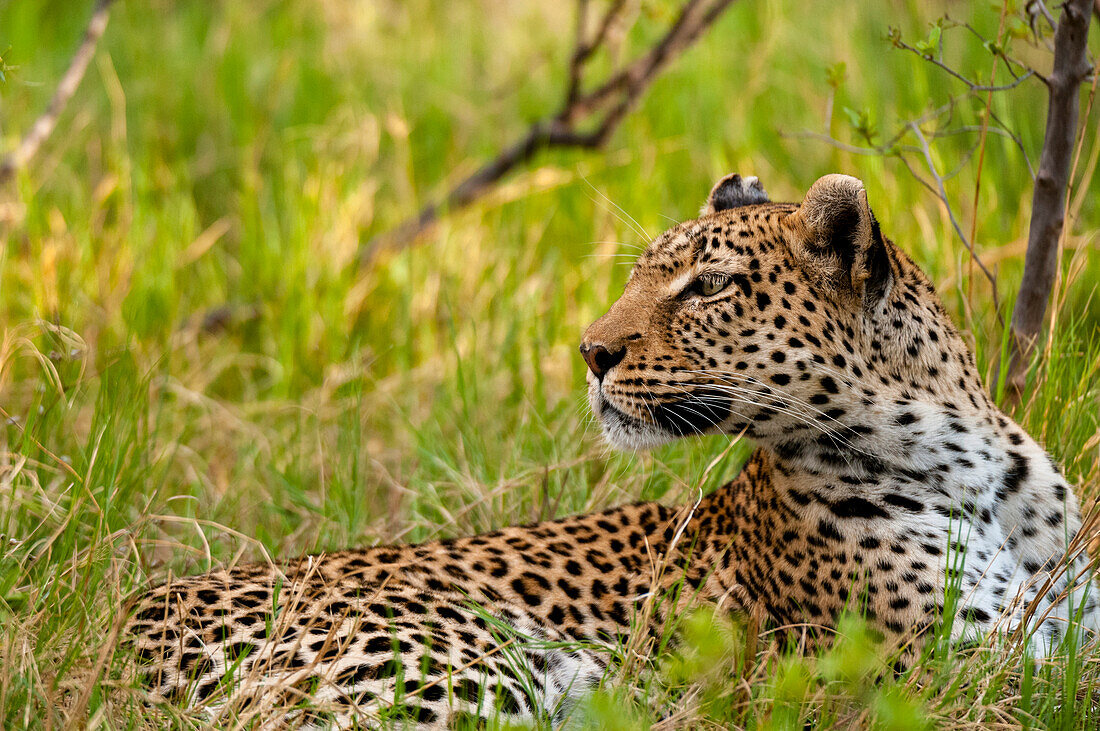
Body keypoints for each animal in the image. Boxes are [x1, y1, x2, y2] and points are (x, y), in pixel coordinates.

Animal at [124, 171, 1095, 725]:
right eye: (639, 276)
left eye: (708, 286)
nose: (590, 351)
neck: (977, 471)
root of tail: (123, 631)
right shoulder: (951, 672)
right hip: (454, 666)